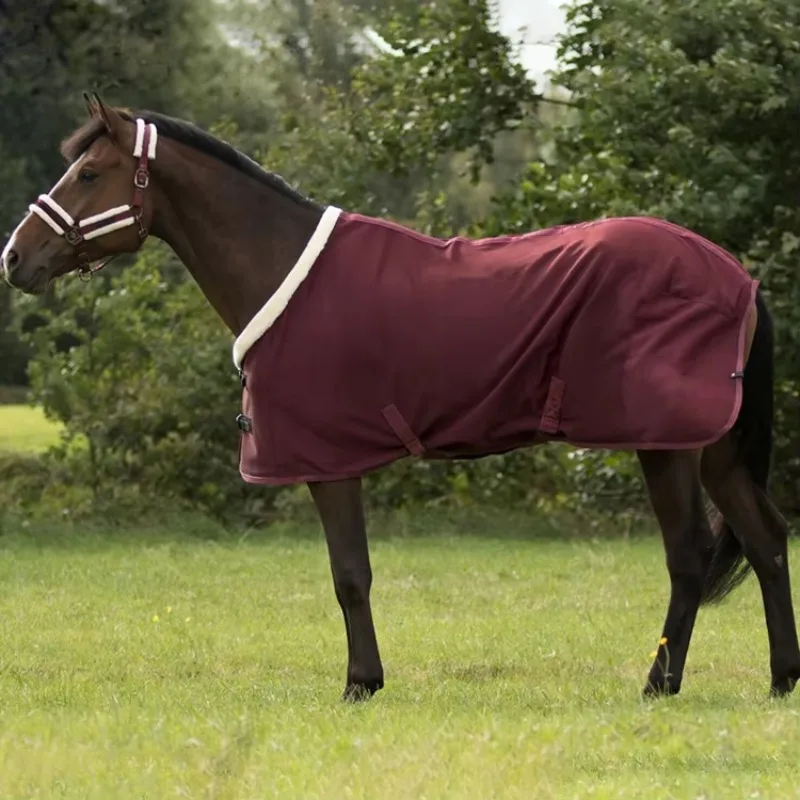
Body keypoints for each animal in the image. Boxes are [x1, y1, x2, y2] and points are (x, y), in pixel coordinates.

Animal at [3, 93, 799, 702]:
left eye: (89, 172)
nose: (14, 257)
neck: (282, 268)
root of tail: (739, 276)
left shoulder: (328, 461)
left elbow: (349, 576)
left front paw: (361, 683)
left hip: (666, 445)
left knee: (689, 557)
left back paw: (659, 684)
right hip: (716, 451)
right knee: (765, 541)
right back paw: (782, 679)